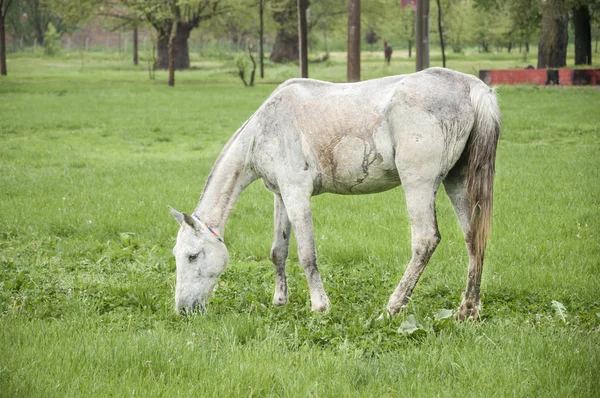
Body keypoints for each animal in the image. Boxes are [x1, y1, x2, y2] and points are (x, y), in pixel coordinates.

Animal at [170, 67, 502, 320]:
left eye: (192, 256)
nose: (183, 309)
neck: (264, 128)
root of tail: (471, 86)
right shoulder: (281, 196)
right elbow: (278, 251)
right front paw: (279, 301)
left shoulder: (297, 194)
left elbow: (307, 254)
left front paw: (319, 306)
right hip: (458, 183)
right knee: (474, 239)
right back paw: (467, 310)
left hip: (418, 184)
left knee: (425, 241)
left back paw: (393, 306)